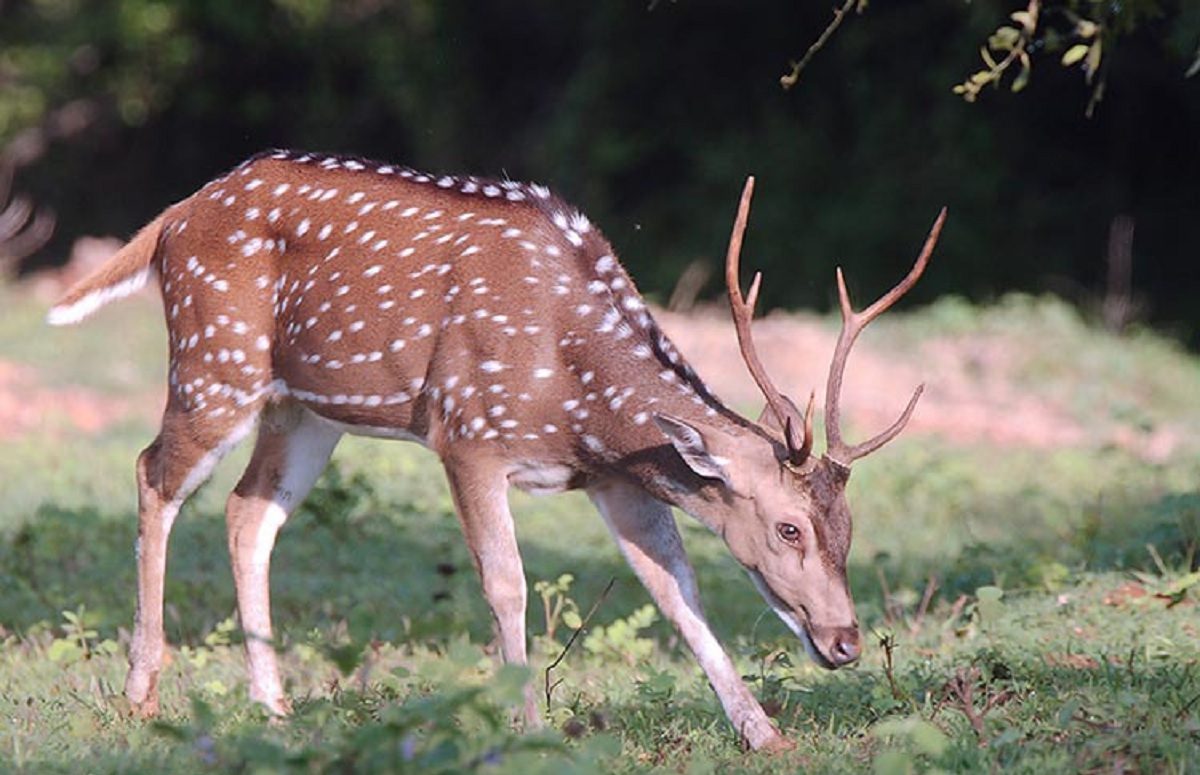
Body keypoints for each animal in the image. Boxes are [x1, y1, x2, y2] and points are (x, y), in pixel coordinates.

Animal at [47, 149, 945, 751]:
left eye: (849, 528)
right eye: (789, 526)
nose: (846, 640)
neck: (582, 400)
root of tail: (174, 216)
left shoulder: (615, 478)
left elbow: (677, 590)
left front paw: (763, 732)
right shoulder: (466, 433)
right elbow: (506, 581)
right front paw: (526, 723)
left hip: (305, 407)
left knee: (248, 511)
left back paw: (275, 706)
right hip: (216, 360)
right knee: (153, 473)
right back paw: (142, 691)